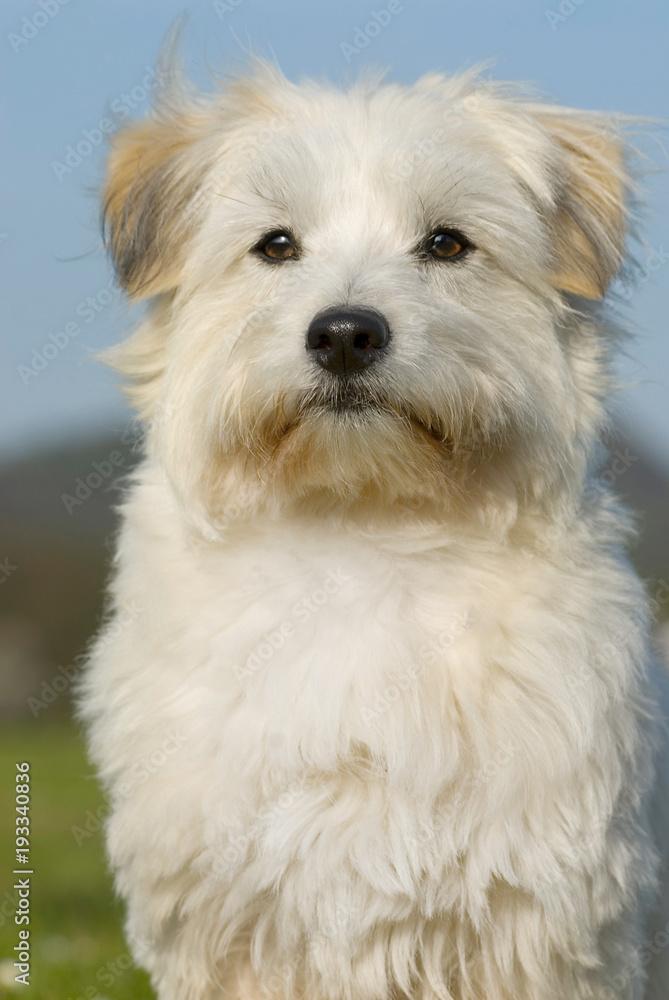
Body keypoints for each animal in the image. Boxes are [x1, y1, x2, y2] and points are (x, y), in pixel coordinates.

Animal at [79, 56, 668, 1000]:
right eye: (276, 245)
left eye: (447, 244)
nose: (346, 333)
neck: (359, 526)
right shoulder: (228, 920)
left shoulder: (541, 923)